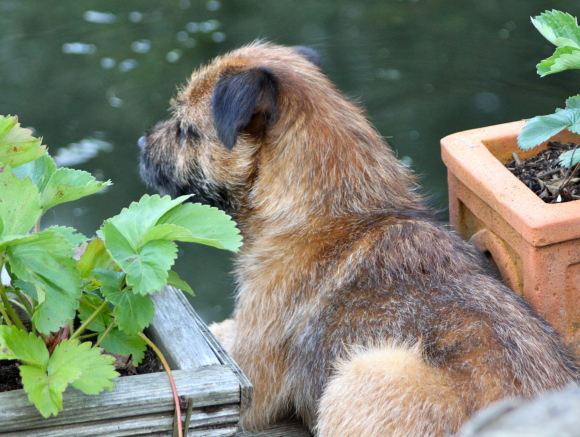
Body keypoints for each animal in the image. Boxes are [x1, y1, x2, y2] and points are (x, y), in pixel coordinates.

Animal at [138, 41, 576, 436]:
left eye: (185, 130)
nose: (141, 144)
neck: (335, 211)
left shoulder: (251, 380)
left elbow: (223, 334)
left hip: (363, 372)